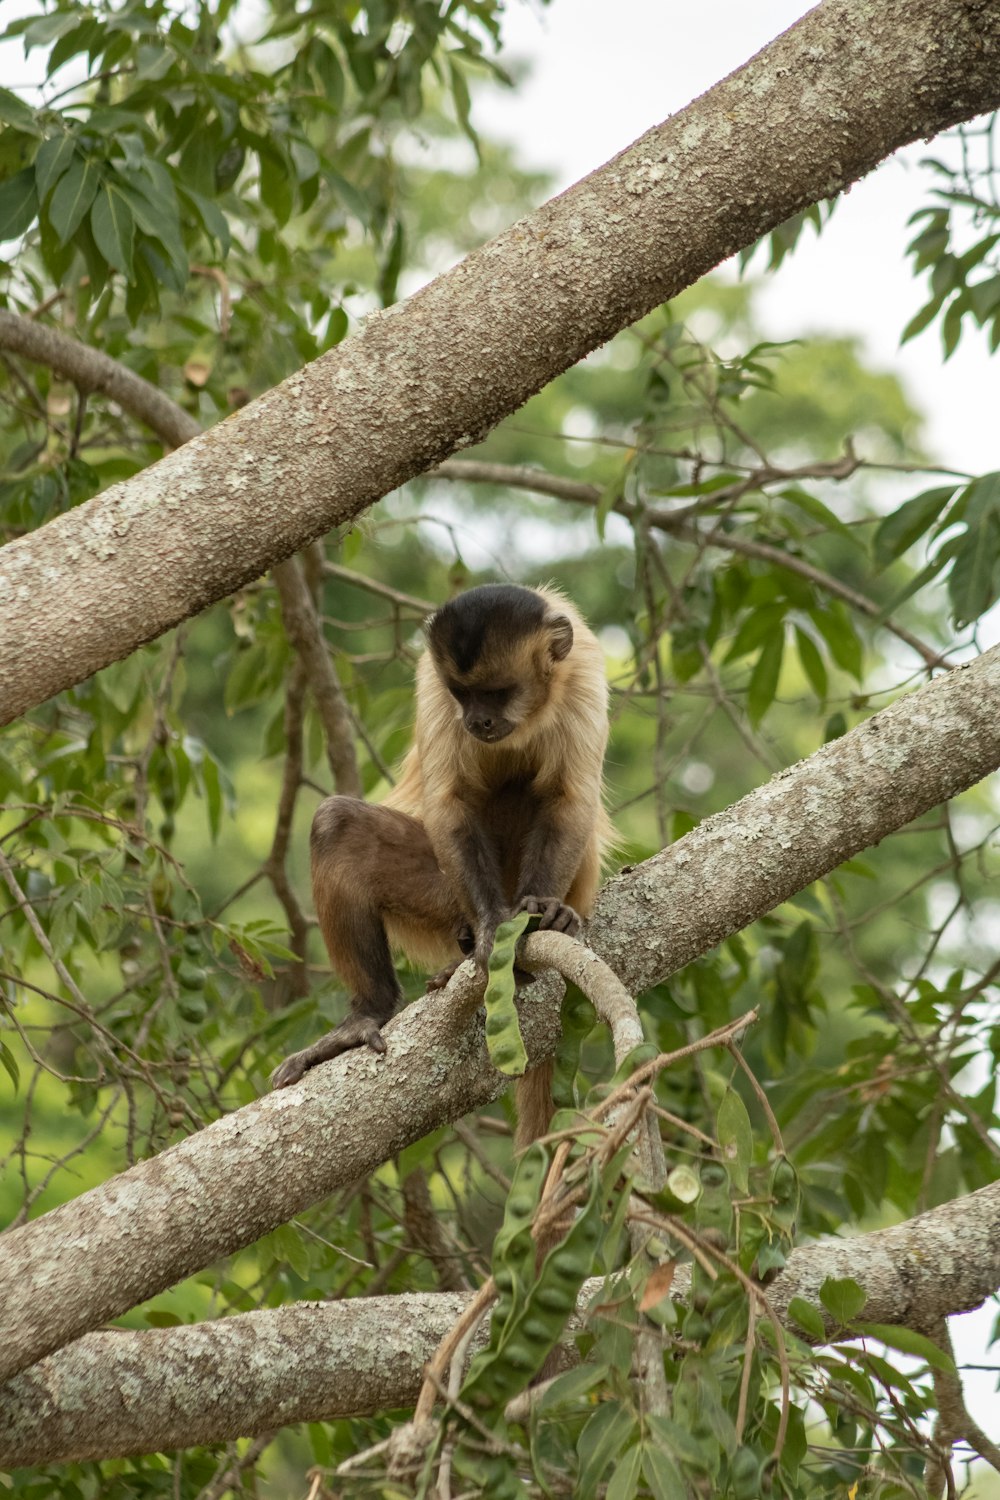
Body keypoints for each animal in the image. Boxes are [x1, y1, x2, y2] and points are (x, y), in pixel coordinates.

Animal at [275, 585, 617, 1146]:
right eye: (463, 694)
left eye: (498, 692)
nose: (477, 720)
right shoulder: (433, 685)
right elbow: (450, 804)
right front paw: (491, 928)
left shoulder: (584, 669)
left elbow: (568, 798)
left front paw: (542, 911)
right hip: (442, 896)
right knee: (336, 824)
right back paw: (374, 1008)